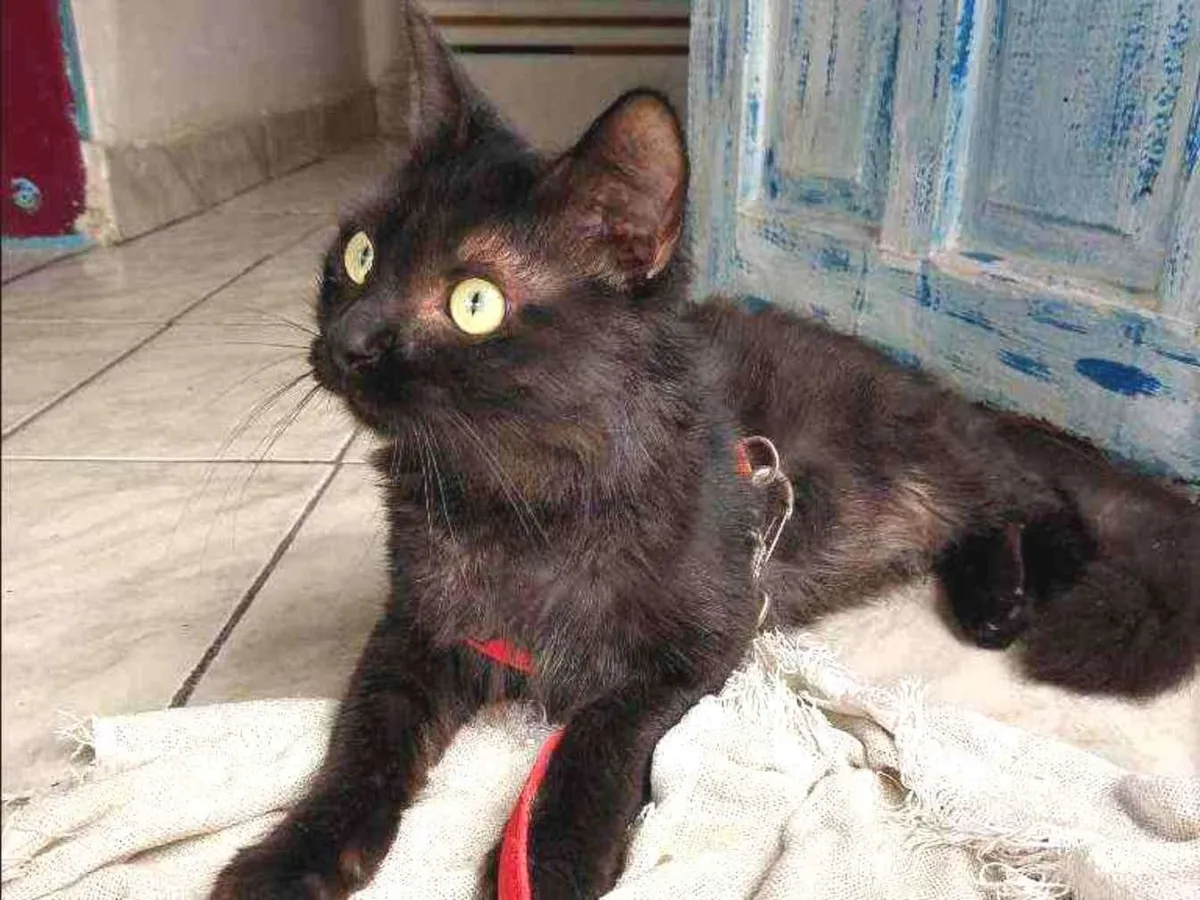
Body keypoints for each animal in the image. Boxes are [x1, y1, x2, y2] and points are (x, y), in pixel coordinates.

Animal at [212, 6, 1199, 898]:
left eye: (474, 303)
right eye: (361, 254)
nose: (347, 342)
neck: (510, 492)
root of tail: (938, 384)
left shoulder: (702, 639)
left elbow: (597, 734)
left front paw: (551, 855)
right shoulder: (419, 625)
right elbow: (363, 740)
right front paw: (294, 857)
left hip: (923, 457)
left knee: (1034, 494)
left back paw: (1030, 584)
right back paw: (994, 594)